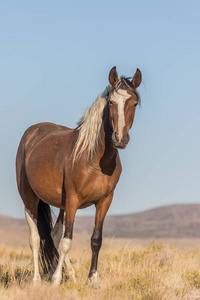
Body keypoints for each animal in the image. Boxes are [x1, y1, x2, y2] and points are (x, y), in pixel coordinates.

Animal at [15, 67, 141, 288]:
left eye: (134, 103)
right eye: (111, 102)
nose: (120, 139)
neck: (95, 158)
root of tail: (32, 133)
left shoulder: (104, 201)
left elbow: (96, 240)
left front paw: (93, 280)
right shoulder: (73, 200)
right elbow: (67, 242)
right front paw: (56, 280)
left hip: (61, 204)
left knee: (54, 234)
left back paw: (71, 275)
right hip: (30, 199)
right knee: (35, 238)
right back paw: (37, 281)